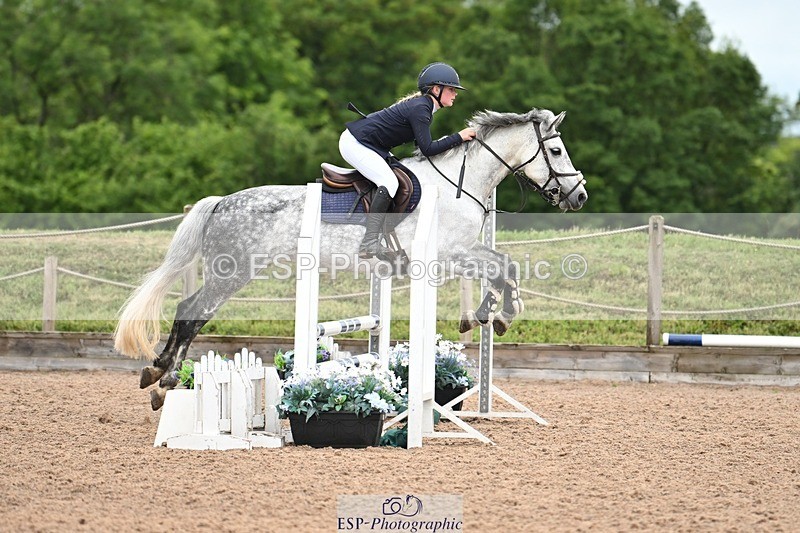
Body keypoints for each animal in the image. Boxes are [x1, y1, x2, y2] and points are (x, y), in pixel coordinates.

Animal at [114, 107, 588, 410]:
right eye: (557, 151)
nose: (580, 196)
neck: (458, 182)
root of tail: (221, 203)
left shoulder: (463, 252)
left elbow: (504, 264)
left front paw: (492, 315)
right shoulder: (448, 255)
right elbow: (500, 267)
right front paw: (499, 313)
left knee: (186, 309)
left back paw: (157, 375)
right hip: (232, 273)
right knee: (191, 312)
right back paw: (163, 379)